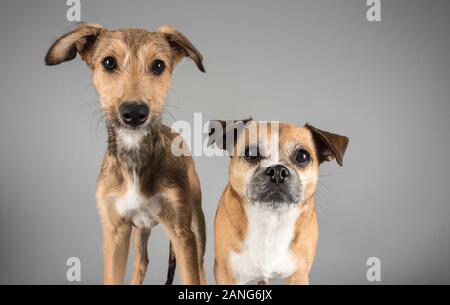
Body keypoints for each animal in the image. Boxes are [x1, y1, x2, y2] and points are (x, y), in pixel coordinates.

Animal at [44, 24, 207, 284]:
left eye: (158, 65)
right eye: (109, 62)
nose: (134, 113)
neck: (135, 160)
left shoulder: (181, 232)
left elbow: (192, 277)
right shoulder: (116, 231)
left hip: (196, 220)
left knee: (201, 267)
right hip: (139, 230)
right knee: (142, 263)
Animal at [209, 118, 350, 282]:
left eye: (303, 156)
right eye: (251, 153)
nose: (277, 171)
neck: (272, 219)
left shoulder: (299, 276)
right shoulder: (227, 274)